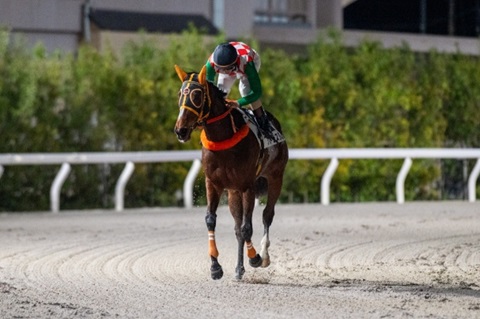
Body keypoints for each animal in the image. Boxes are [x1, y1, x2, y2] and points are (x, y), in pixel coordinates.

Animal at [175, 65, 290, 280]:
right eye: (180, 94)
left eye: (197, 95)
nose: (180, 130)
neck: (223, 138)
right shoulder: (214, 183)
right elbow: (212, 220)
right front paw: (215, 267)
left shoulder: (247, 186)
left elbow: (247, 227)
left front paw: (255, 258)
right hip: (233, 192)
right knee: (238, 226)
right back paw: (239, 268)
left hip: (275, 177)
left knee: (267, 215)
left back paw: (264, 255)